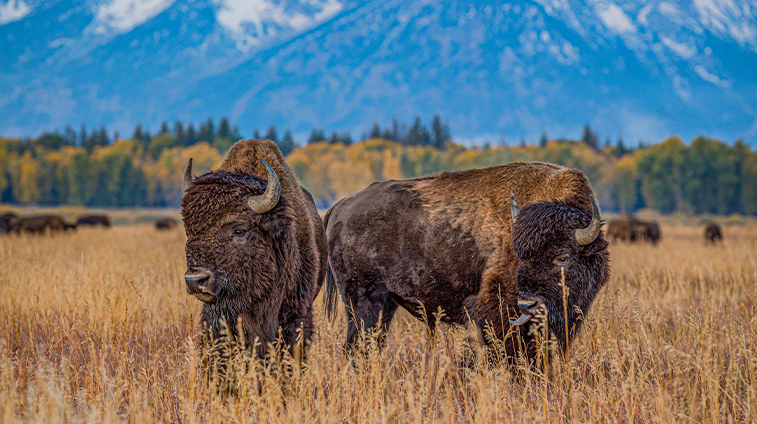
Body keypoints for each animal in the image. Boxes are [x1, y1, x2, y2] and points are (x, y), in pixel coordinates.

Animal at [324, 162, 608, 362]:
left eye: (563, 257)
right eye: (519, 255)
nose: (529, 305)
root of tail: (340, 206)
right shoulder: (493, 310)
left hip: (386, 304)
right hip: (362, 301)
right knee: (356, 345)